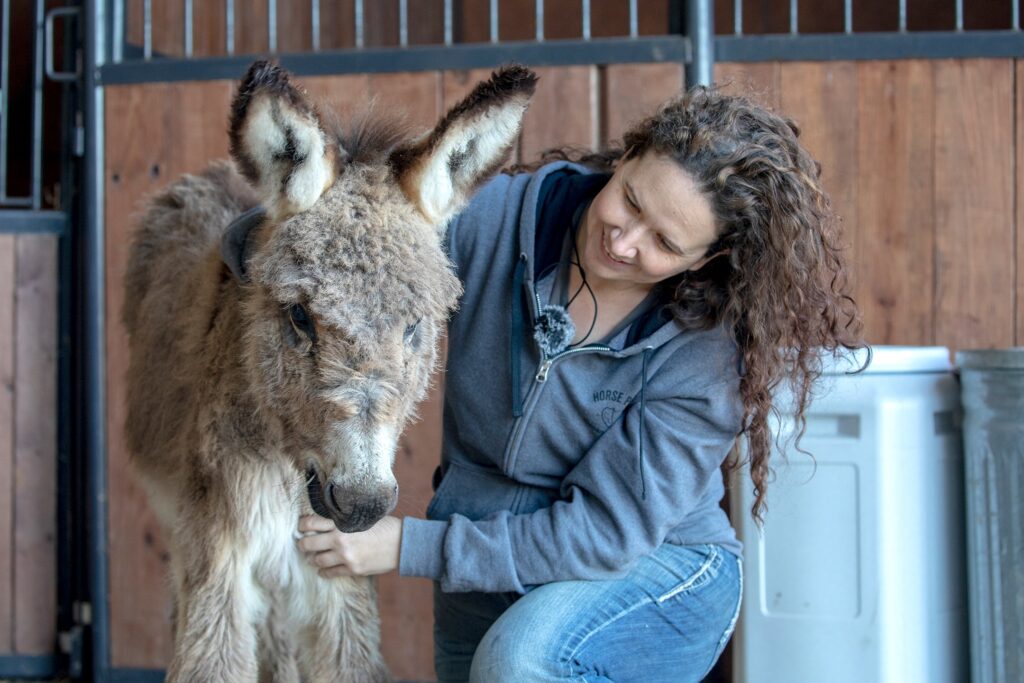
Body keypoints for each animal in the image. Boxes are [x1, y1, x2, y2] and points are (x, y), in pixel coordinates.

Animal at [121, 60, 536, 682]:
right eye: (298, 315)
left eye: (416, 326)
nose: (361, 504)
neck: (288, 470)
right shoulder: (218, 558)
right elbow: (212, 660)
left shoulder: (338, 575)